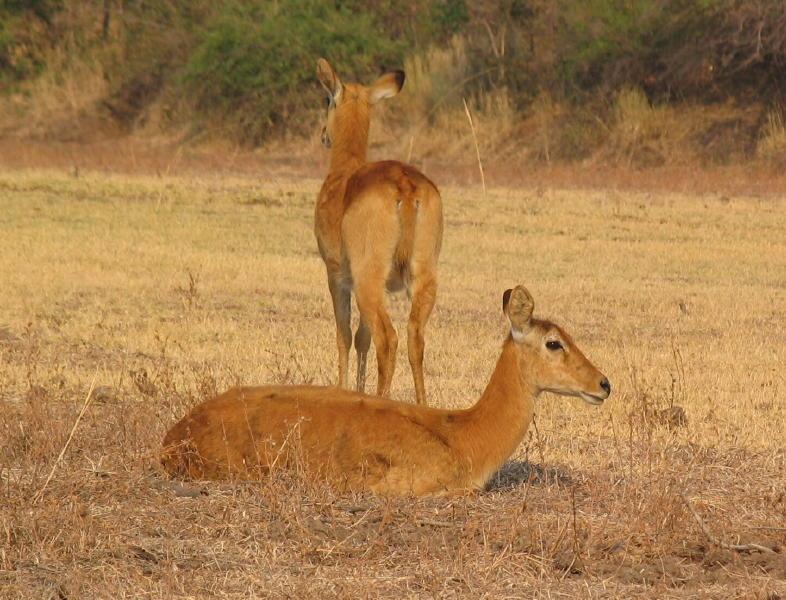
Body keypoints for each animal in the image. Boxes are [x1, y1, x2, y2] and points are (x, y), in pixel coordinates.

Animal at [316, 57, 444, 404]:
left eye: (327, 99)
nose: (323, 134)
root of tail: (406, 187)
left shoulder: (336, 275)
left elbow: (345, 335)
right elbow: (363, 337)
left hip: (367, 280)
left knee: (389, 339)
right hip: (422, 276)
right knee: (415, 337)